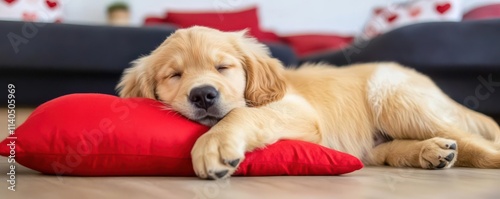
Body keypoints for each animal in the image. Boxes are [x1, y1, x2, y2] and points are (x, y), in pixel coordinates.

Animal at [119, 25, 500, 180]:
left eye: (222, 67)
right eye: (175, 75)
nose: (203, 95)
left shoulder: (299, 111)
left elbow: (242, 114)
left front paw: (214, 145)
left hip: (394, 98)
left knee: (476, 142)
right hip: (381, 136)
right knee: (392, 150)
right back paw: (432, 151)